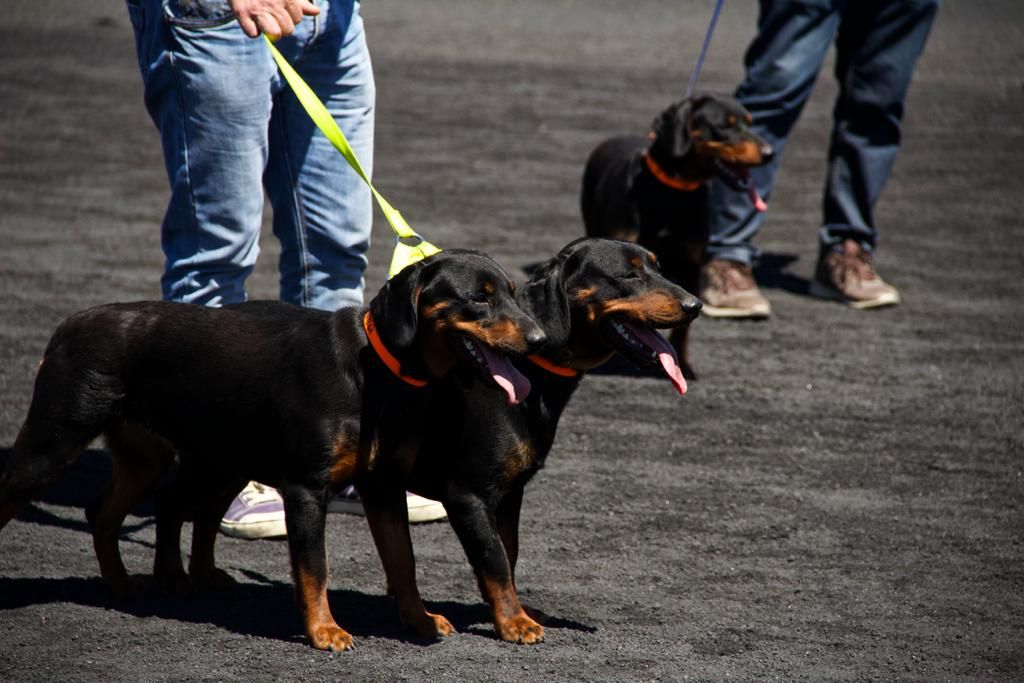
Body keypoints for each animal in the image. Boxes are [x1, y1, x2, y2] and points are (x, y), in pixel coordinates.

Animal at [0, 249, 544, 651]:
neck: (378, 374)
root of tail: (67, 325)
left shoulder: (383, 486)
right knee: (21, 494)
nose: (539, 338)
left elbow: (402, 562)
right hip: (53, 442)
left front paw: (421, 620)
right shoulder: (306, 488)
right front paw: (325, 632)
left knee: (118, 510)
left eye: (514, 294)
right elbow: (314, 567)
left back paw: (136, 584)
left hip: (179, 457)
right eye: (478, 300)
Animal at [360, 237, 704, 643]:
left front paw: (511, 610)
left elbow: (509, 553)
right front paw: (514, 622)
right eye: (627, 275)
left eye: (658, 267)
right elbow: (494, 559)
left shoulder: (511, 494)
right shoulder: (467, 495)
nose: (695, 305)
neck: (529, 369)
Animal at [581, 93, 770, 376]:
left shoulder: (692, 265)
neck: (674, 193)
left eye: (750, 122)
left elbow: (682, 327)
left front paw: (684, 366)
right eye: (724, 126)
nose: (769, 153)